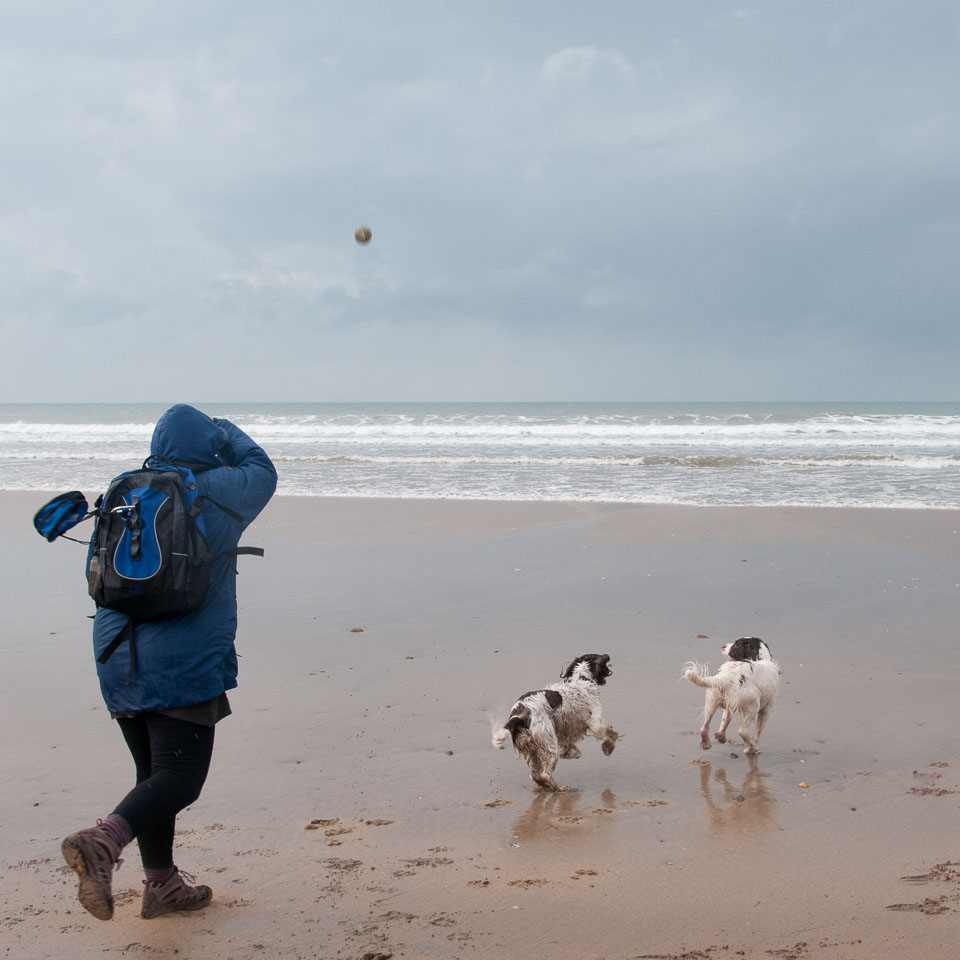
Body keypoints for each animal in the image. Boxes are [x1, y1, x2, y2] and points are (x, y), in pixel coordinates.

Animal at [492, 652, 620, 796]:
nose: (607, 655)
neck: (581, 678)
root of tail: (518, 715)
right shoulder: (594, 721)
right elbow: (609, 733)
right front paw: (609, 746)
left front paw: (570, 753)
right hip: (549, 744)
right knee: (545, 774)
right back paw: (560, 788)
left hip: (531, 748)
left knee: (535, 775)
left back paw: (544, 786)